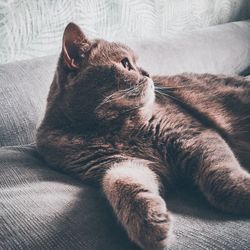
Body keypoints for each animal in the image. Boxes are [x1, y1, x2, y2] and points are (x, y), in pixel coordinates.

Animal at [36, 22, 250, 249]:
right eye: (125, 63)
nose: (149, 73)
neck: (112, 129)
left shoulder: (195, 135)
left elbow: (221, 177)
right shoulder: (118, 164)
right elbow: (123, 186)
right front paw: (148, 223)